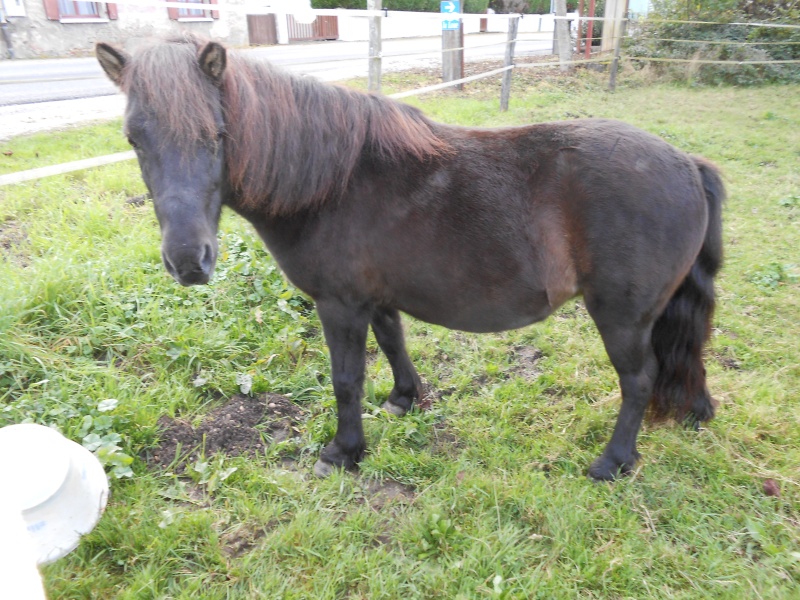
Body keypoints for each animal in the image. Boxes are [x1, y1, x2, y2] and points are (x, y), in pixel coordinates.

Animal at [95, 35, 724, 480]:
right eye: (133, 140)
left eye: (219, 136)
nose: (188, 261)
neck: (333, 182)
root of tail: (688, 164)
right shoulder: (375, 297)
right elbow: (394, 342)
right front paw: (403, 400)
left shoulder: (339, 304)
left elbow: (345, 378)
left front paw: (344, 452)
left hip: (623, 317)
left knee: (638, 380)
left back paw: (613, 461)